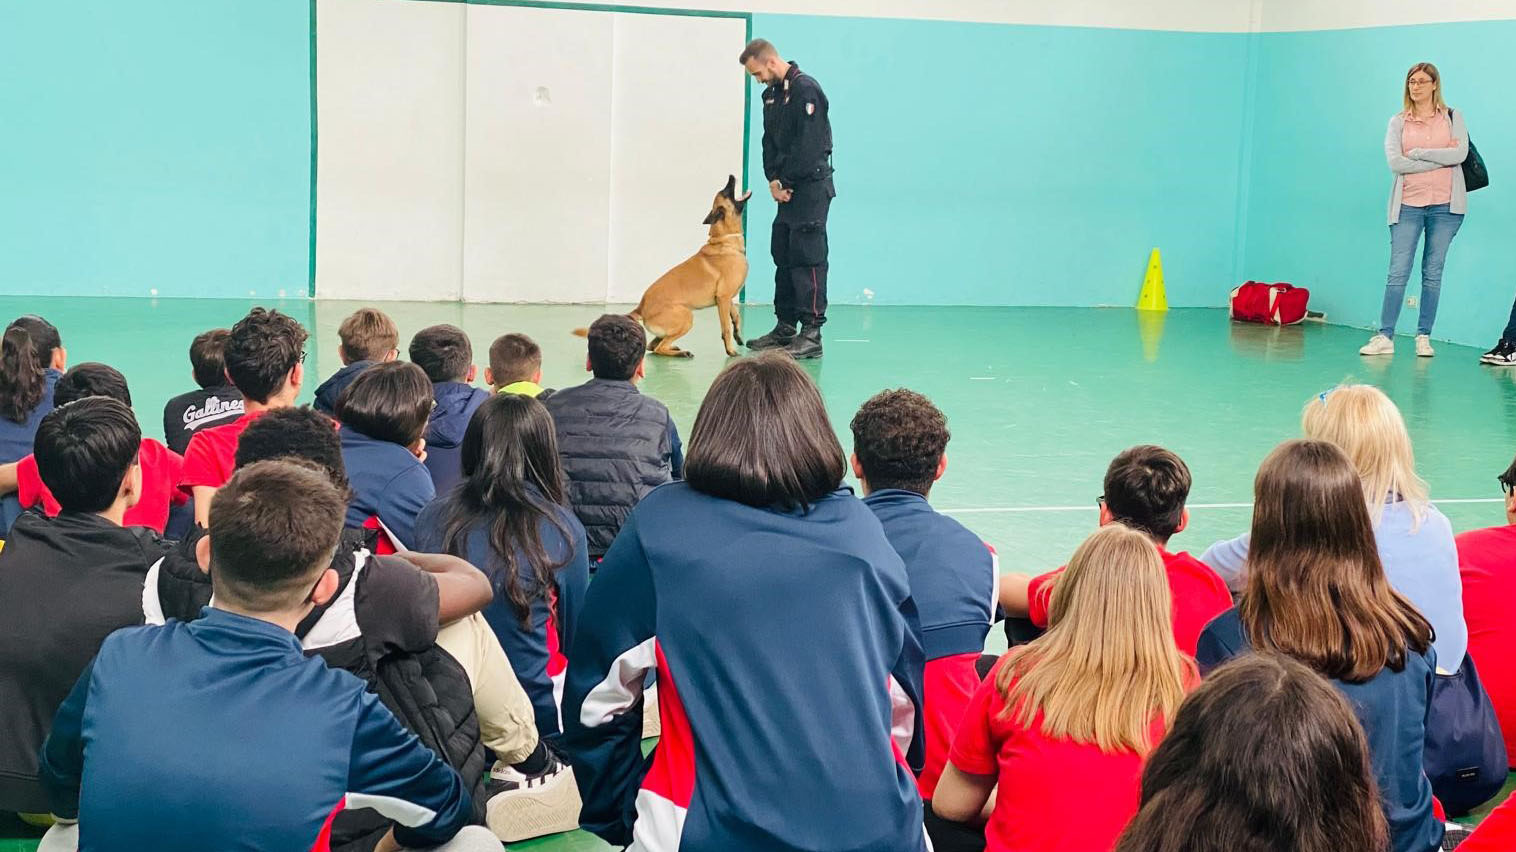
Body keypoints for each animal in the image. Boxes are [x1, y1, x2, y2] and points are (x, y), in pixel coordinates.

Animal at [573, 175, 751, 354]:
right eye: (726, 192)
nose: (731, 176)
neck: (724, 240)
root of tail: (641, 307)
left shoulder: (726, 299)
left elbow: (736, 316)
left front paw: (738, 335)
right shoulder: (723, 298)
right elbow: (725, 327)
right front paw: (730, 350)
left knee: (654, 345)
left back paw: (676, 349)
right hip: (687, 316)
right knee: (659, 348)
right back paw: (681, 353)